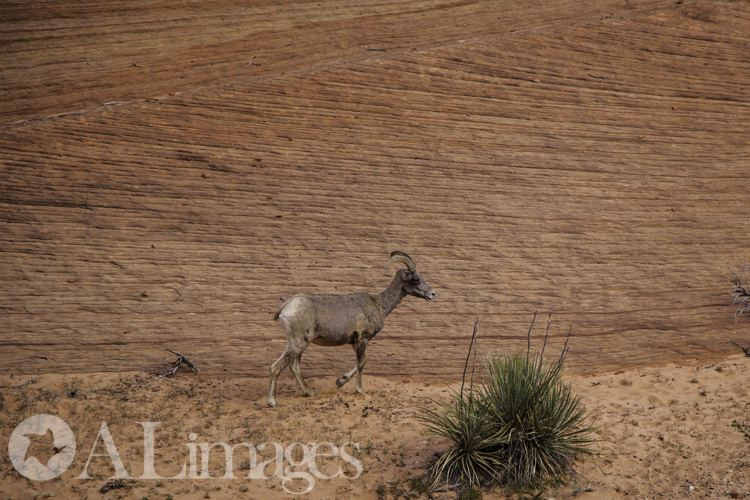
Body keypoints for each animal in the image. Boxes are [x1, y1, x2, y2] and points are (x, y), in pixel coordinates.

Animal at [268, 252, 434, 408]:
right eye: (416, 279)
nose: (432, 294)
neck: (379, 304)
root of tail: (285, 307)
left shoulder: (354, 342)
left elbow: (363, 360)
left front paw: (340, 381)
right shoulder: (362, 339)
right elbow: (360, 363)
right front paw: (360, 389)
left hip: (300, 345)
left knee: (294, 366)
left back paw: (309, 393)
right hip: (298, 343)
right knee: (276, 367)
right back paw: (273, 402)